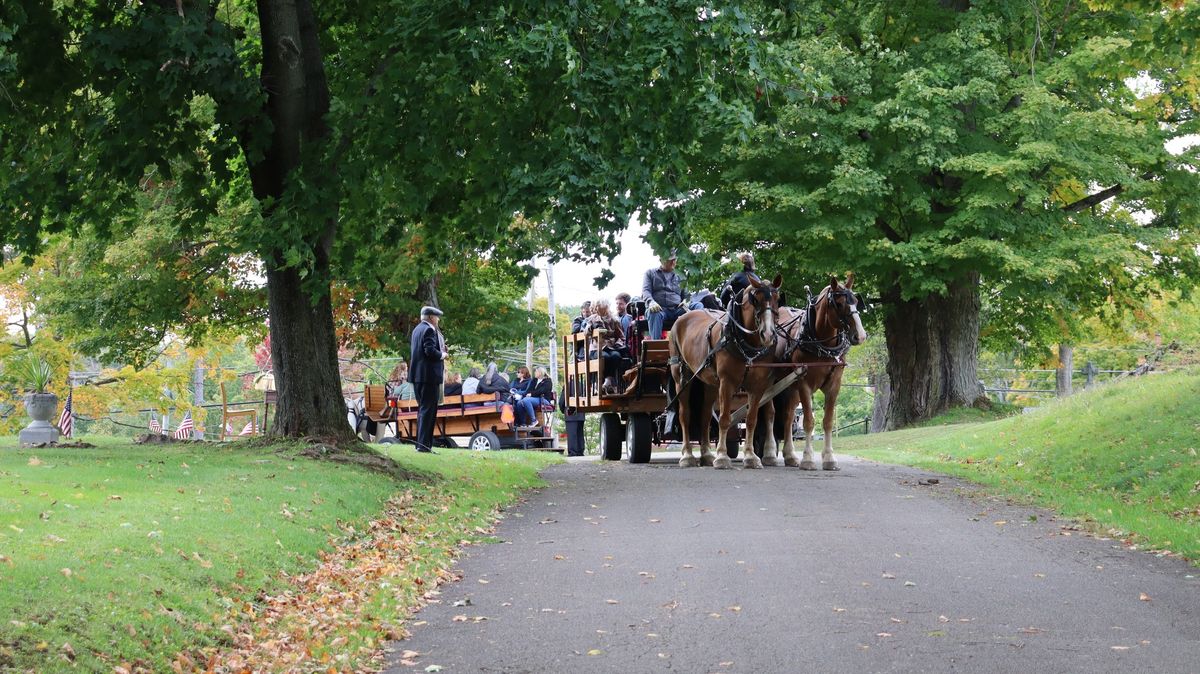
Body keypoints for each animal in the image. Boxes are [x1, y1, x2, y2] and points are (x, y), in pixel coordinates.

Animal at [672, 273, 782, 467]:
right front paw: (722, 457)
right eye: (755, 299)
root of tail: (682, 317)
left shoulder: (757, 386)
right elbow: (724, 419)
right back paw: (687, 456)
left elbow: (751, 419)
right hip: (682, 377)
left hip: (709, 383)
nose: (768, 334)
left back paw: (706, 454)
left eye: (777, 299)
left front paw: (750, 457)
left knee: (705, 417)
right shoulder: (727, 382)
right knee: (685, 416)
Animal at [772, 273, 868, 467]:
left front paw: (829, 457)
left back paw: (790, 455)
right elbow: (809, 421)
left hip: (791, 387)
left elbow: (827, 421)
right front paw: (808, 458)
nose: (860, 335)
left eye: (856, 301)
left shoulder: (834, 384)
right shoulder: (804, 383)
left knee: (788, 417)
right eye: (839, 303)